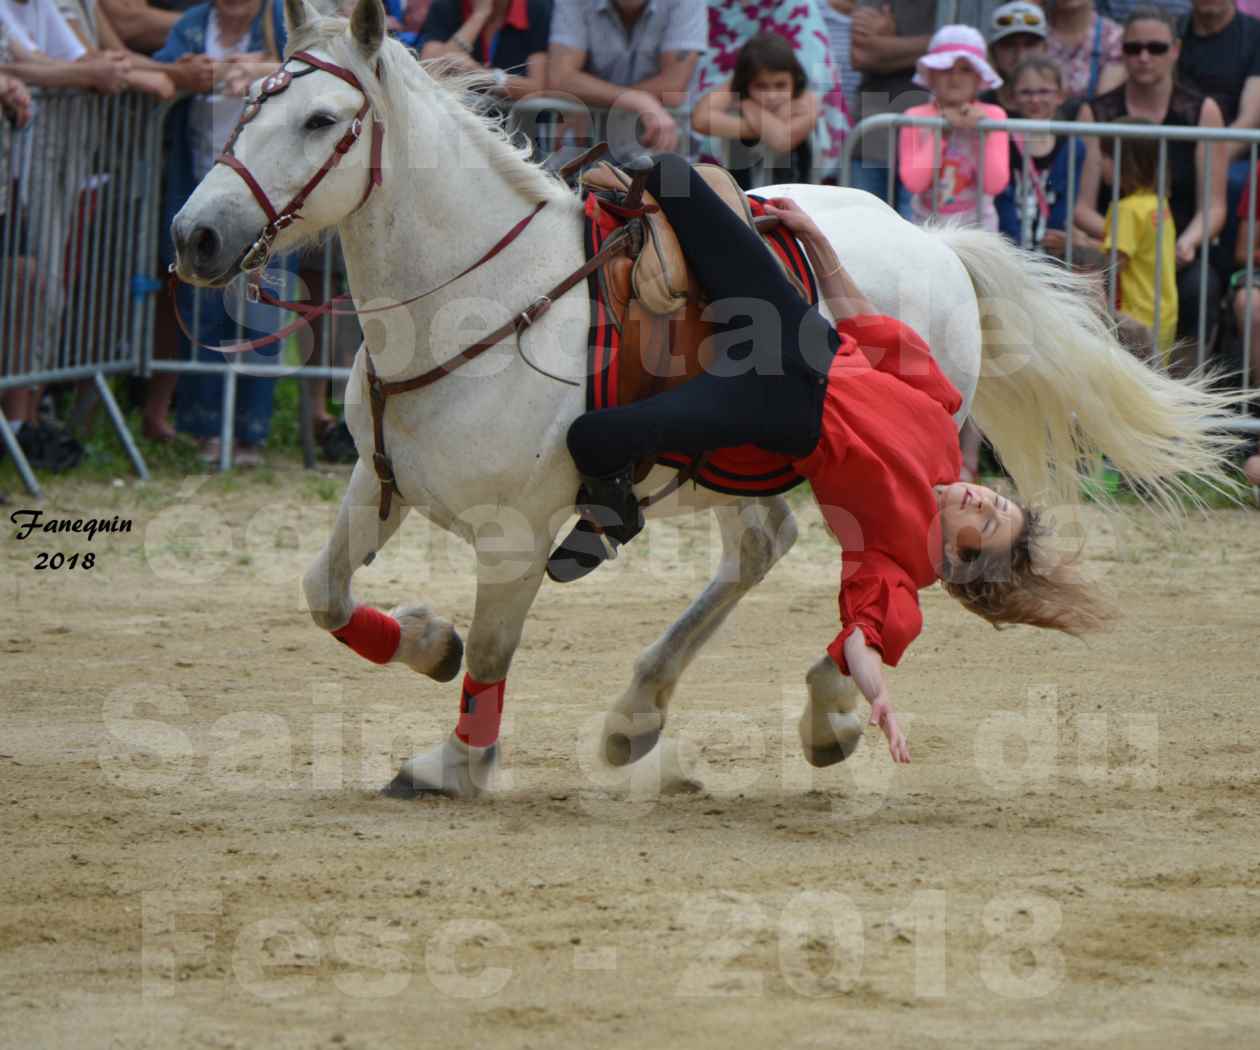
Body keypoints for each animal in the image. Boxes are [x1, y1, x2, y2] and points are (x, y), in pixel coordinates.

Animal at [175, 0, 1239, 796]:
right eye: (245, 107)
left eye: (320, 121)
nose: (196, 236)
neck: (479, 297)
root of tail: (934, 238)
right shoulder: (376, 481)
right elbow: (325, 595)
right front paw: (426, 640)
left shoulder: (514, 540)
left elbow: (492, 660)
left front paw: (457, 763)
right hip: (743, 465)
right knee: (762, 546)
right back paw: (638, 716)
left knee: (831, 562)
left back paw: (803, 716)